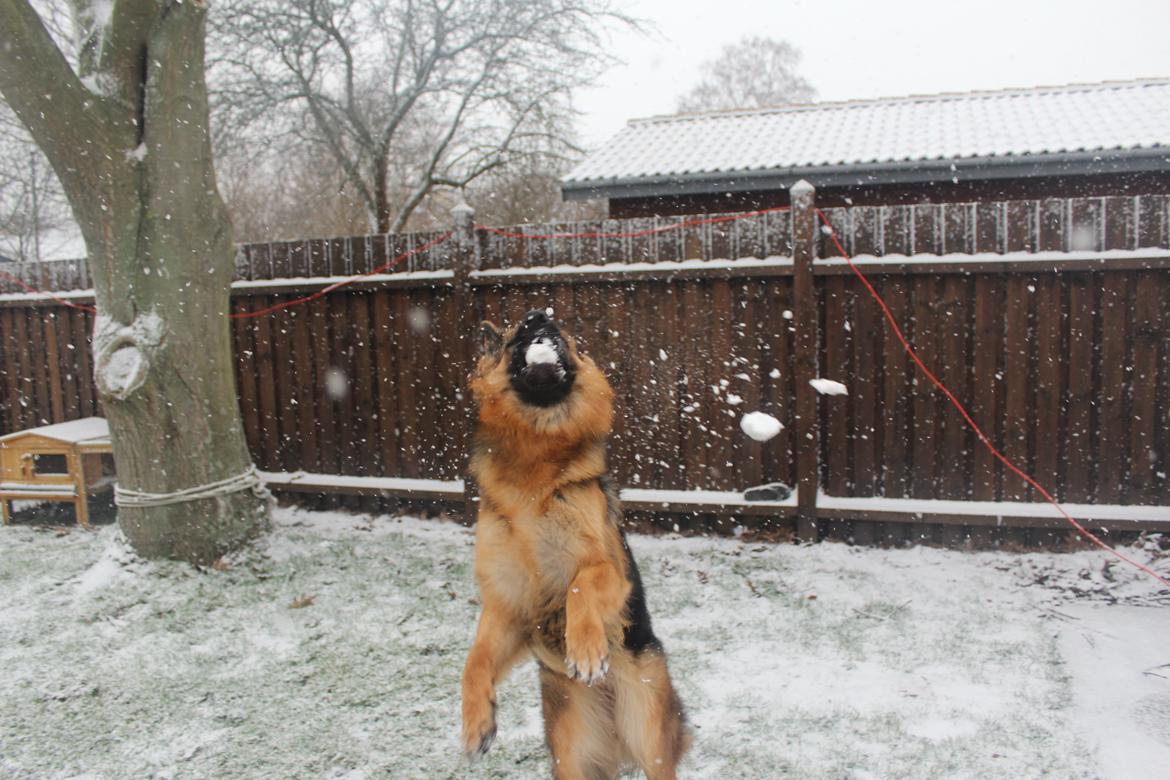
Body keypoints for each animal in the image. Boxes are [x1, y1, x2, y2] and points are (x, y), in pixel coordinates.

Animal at [460, 311, 687, 780]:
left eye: (563, 333)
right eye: (516, 336)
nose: (537, 316)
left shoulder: (611, 571)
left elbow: (579, 586)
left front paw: (586, 650)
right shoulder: (507, 606)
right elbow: (474, 661)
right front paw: (476, 721)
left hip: (649, 730)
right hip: (571, 752)